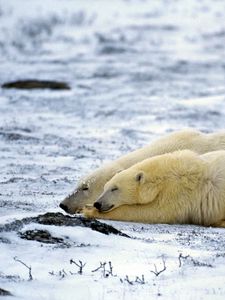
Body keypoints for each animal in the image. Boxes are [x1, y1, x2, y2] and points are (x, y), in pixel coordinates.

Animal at [83, 150, 225, 227]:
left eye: (115, 188)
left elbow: (155, 212)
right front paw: (88, 206)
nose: (97, 203)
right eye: (104, 188)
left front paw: (88, 210)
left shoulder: (179, 192)